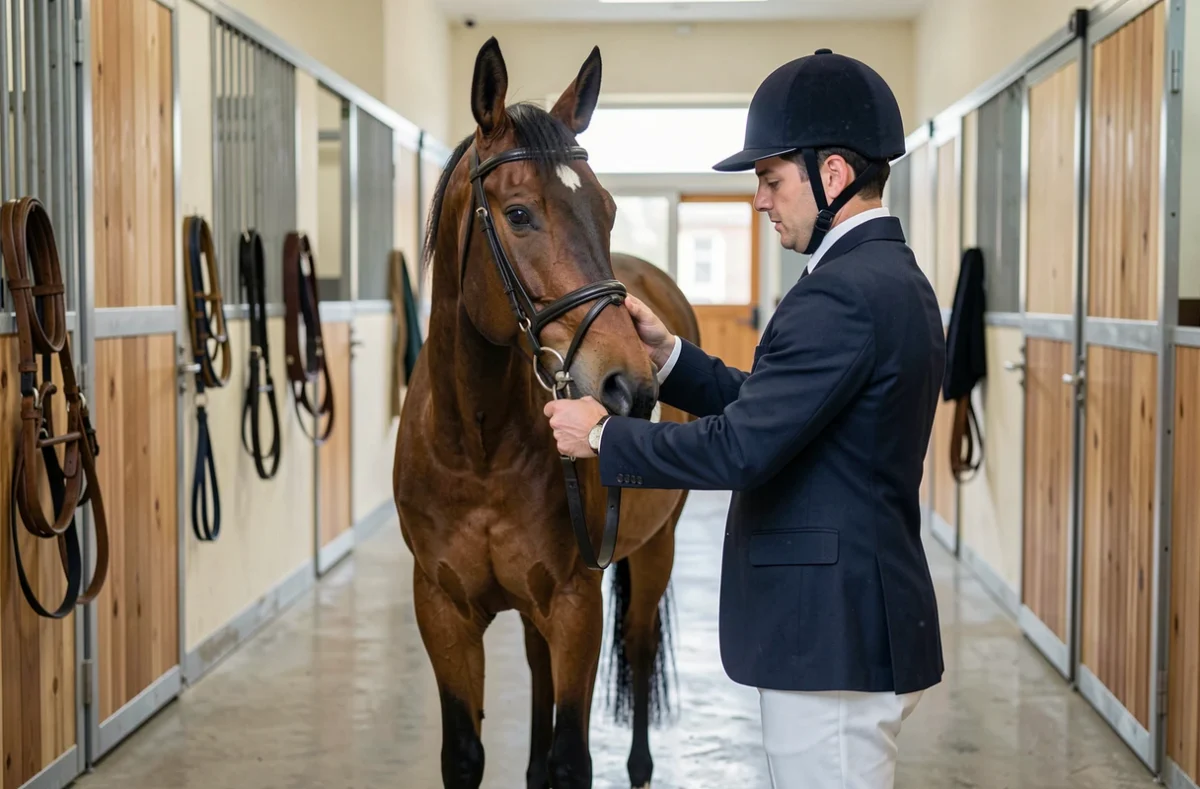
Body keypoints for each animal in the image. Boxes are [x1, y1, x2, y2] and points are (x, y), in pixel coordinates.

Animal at [393, 37, 701, 789]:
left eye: (608, 209)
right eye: (519, 214)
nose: (630, 383)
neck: (476, 447)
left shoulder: (574, 604)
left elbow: (571, 757)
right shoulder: (441, 608)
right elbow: (466, 753)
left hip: (654, 550)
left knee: (640, 651)